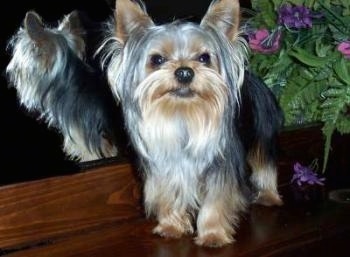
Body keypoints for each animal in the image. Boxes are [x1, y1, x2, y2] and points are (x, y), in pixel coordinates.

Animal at [99, 0, 284, 246]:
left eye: (204, 58)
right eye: (157, 60)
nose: (184, 72)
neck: (183, 115)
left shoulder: (221, 167)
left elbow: (215, 201)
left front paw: (212, 234)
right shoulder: (166, 164)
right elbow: (168, 194)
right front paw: (171, 226)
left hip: (263, 130)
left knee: (264, 161)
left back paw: (269, 196)